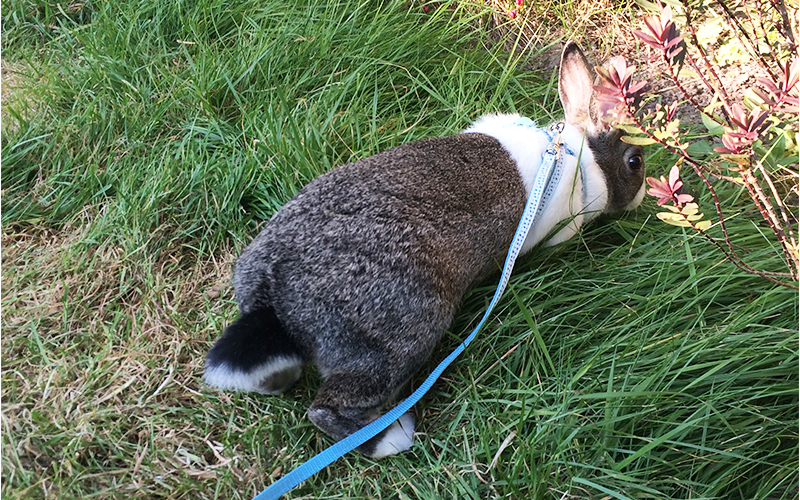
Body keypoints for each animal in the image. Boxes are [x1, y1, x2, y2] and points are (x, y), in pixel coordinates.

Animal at [205, 41, 644, 458]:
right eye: (635, 161)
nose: (641, 198)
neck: (575, 155)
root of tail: (275, 303)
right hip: (401, 330)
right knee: (328, 408)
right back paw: (392, 438)